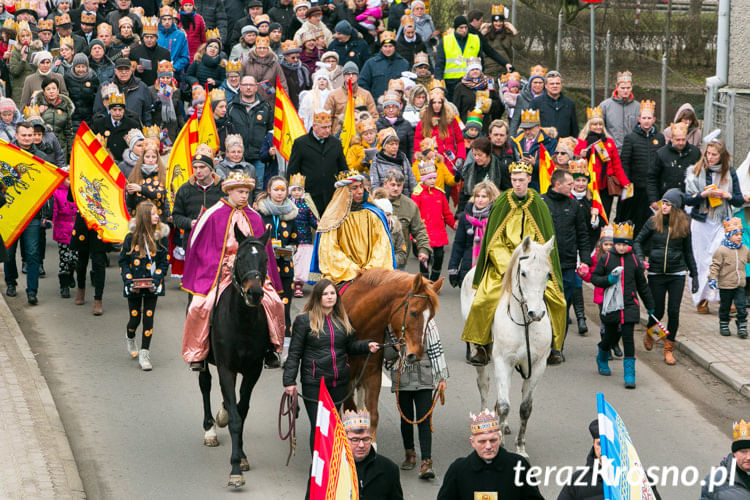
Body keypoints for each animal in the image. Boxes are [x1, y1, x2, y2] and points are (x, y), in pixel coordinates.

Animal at [198, 228, 272, 488]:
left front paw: (241, 457)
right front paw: (235, 470)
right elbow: (236, 418)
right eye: (240, 258)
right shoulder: (226, 368)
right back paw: (209, 429)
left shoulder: (252, 370)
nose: (255, 293)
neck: (242, 321)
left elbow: (241, 410)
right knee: (205, 384)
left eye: (265, 259)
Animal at [340, 270, 440, 438]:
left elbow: (372, 415)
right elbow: (350, 413)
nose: (417, 354)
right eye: (413, 313)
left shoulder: (372, 374)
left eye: (431, 316)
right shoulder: (345, 378)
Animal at [458, 235, 560, 458]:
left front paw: (520, 447)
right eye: (523, 273)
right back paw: (486, 420)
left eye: (548, 274)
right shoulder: (502, 361)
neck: (525, 324)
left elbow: (525, 408)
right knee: (484, 385)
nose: (536, 314)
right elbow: (505, 405)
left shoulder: (537, 366)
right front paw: (499, 443)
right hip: (481, 355)